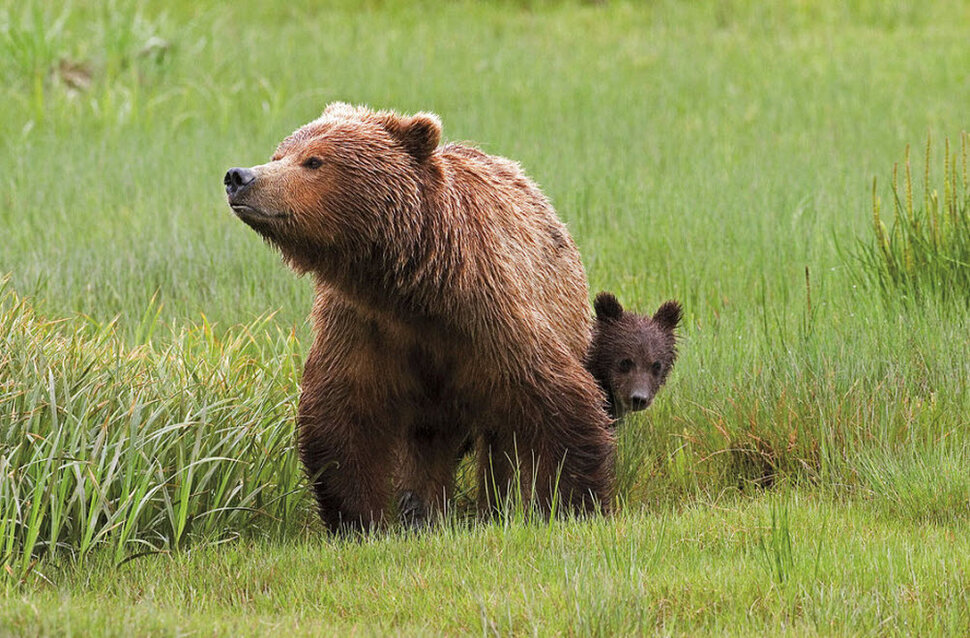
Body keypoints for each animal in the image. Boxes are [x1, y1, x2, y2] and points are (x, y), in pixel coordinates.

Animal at [223, 104, 608, 536]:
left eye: (313, 161)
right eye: (279, 154)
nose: (239, 176)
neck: (413, 292)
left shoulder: (492, 316)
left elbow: (557, 402)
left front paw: (571, 504)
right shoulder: (362, 325)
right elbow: (341, 416)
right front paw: (361, 521)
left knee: (499, 441)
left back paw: (495, 507)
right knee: (427, 445)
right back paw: (425, 512)